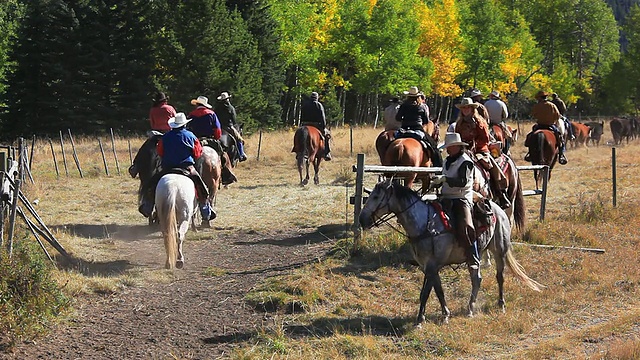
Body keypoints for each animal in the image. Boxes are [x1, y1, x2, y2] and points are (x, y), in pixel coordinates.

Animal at [358, 179, 544, 324]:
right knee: (477, 279)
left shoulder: (433, 265)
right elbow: (435, 289)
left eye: (376, 196)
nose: (362, 219)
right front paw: (440, 314)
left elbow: (428, 291)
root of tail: (498, 210)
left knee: (498, 277)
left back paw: (497, 304)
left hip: (499, 251)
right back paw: (471, 307)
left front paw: (421, 319)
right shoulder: (428, 266)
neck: (425, 225)